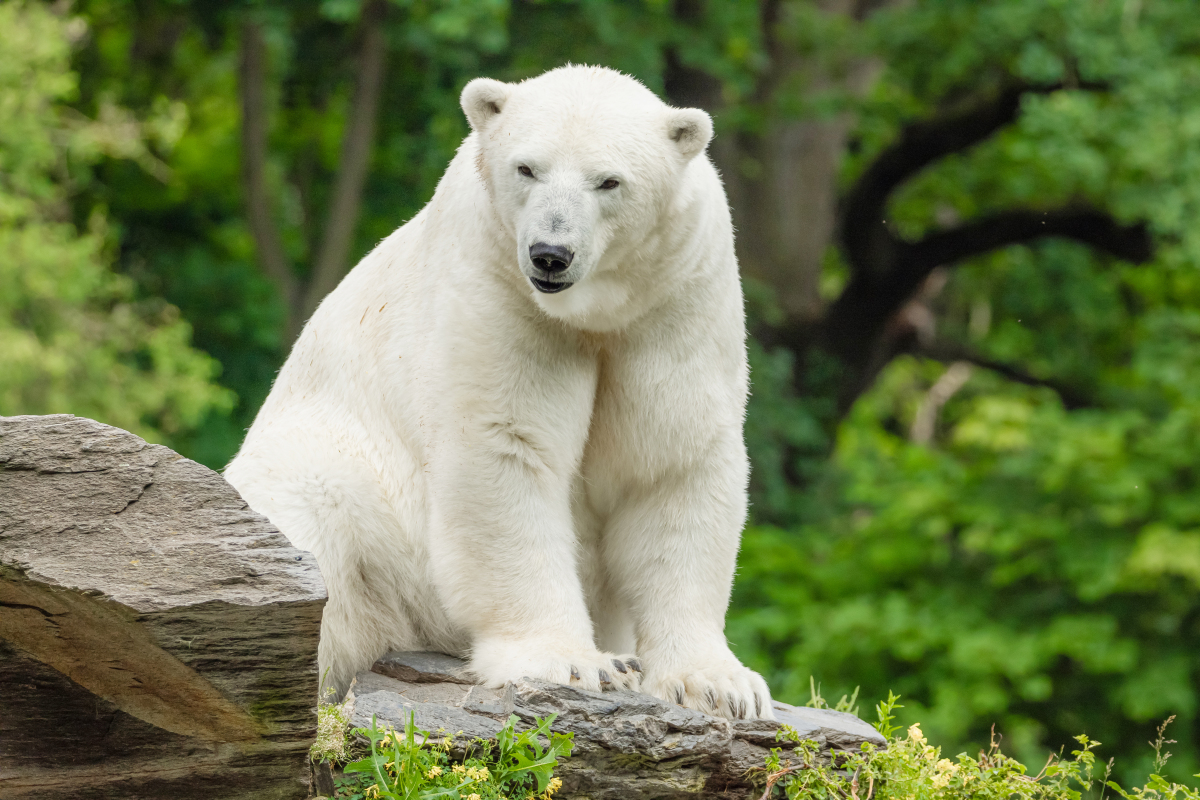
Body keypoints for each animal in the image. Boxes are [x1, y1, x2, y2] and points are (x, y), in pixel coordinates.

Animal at [224, 65, 772, 724]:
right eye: (526, 168)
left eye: (609, 181)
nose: (550, 255)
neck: (591, 311)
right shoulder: (497, 284)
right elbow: (506, 445)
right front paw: (574, 662)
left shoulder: (676, 298)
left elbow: (670, 461)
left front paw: (717, 685)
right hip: (332, 485)